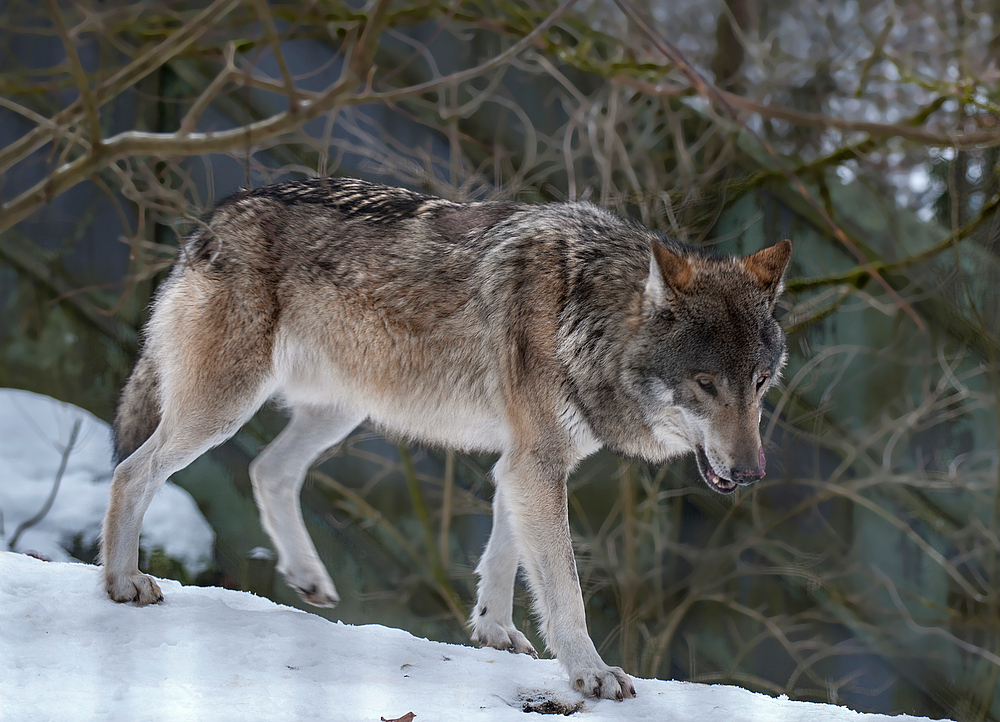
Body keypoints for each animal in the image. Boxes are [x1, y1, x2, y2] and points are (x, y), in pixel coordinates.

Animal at [101, 174, 788, 696]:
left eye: (758, 383)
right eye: (705, 383)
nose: (753, 474)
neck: (586, 315)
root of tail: (215, 217)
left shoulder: (524, 463)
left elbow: (505, 557)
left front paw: (491, 633)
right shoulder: (536, 464)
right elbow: (564, 587)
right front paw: (590, 673)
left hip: (341, 409)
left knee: (267, 469)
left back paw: (309, 577)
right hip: (225, 407)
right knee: (132, 471)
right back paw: (122, 581)